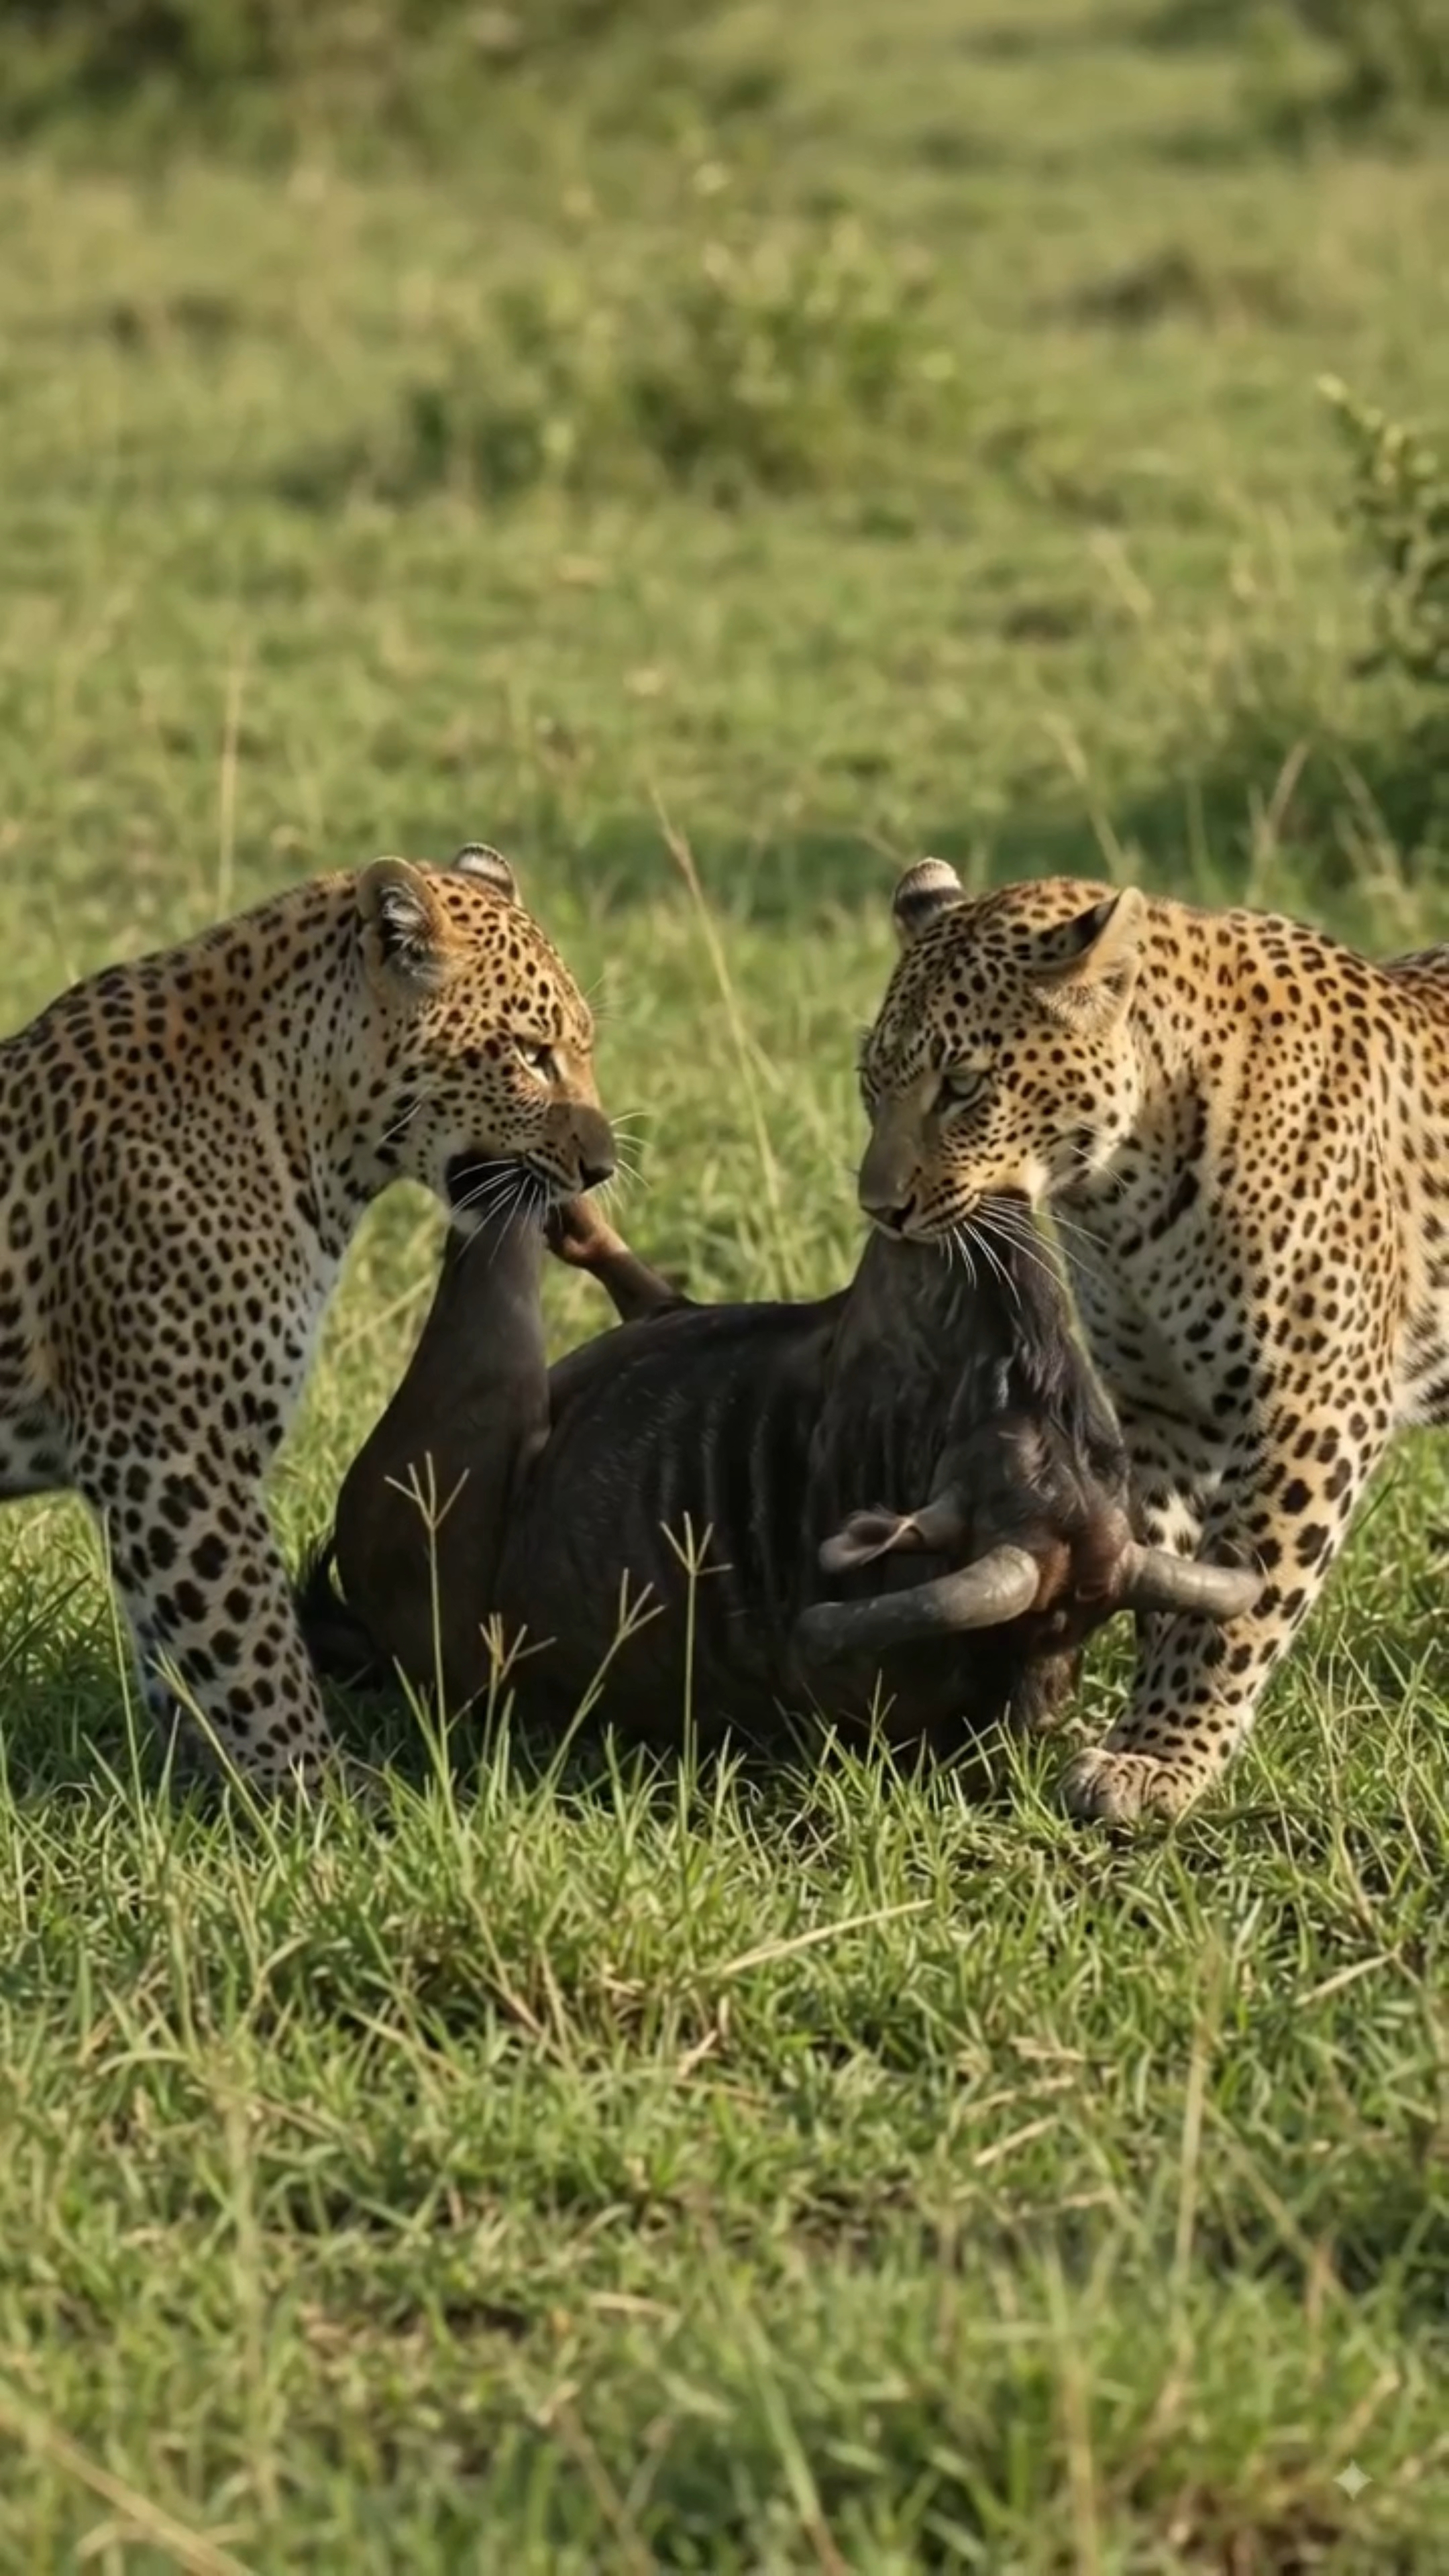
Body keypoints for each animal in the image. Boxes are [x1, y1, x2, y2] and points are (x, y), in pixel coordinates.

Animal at [0, 843, 614, 1790]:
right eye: (529, 1053)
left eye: (581, 1048)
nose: (605, 1165)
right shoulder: (173, 1449)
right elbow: (249, 1639)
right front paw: (325, 1794)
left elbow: (181, 1649)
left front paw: (196, 1788)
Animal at [854, 855, 1449, 1823]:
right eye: (871, 1082)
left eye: (964, 1086)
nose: (879, 1209)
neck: (1119, 1198)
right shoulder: (1165, 1409)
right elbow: (1165, 1569)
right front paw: (1140, 1725)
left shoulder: (1312, 1407)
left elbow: (1236, 1603)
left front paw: (1157, 1757)